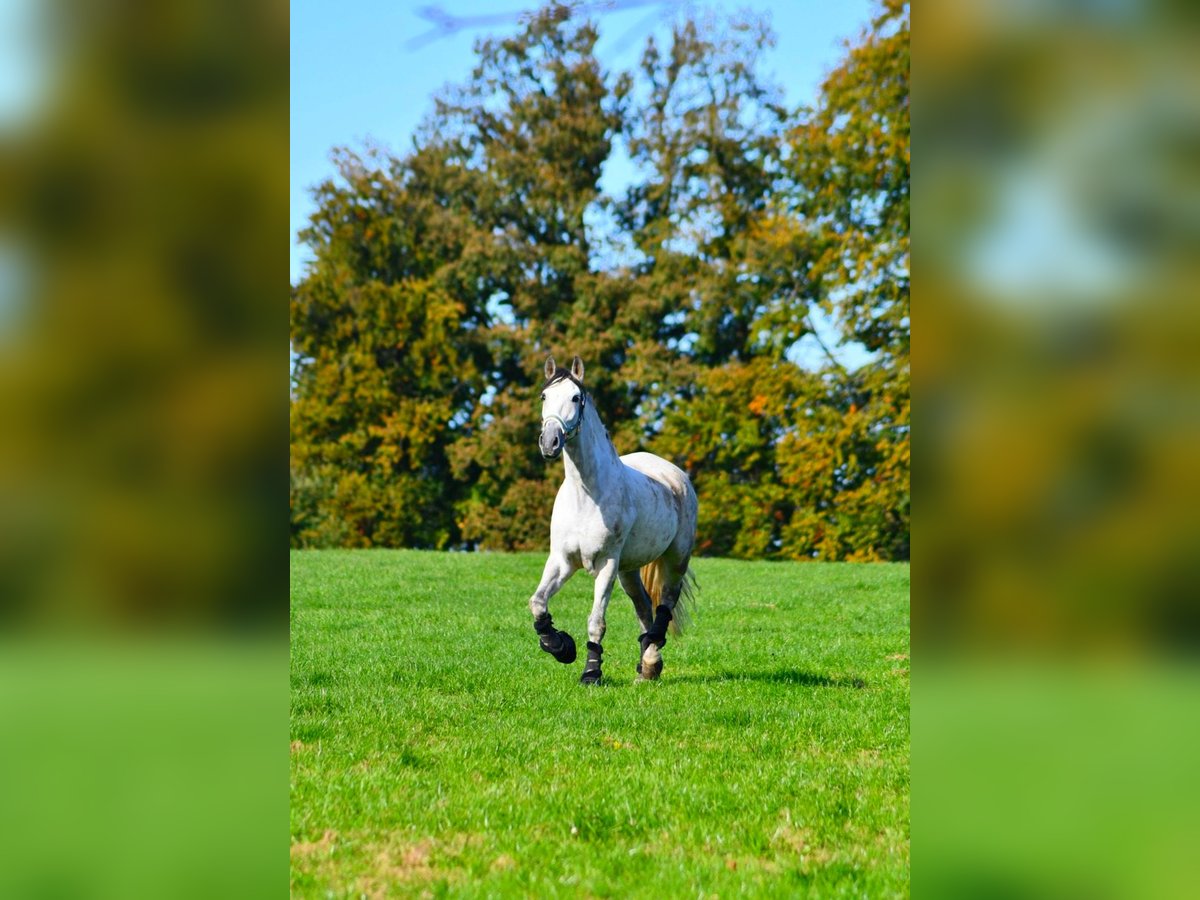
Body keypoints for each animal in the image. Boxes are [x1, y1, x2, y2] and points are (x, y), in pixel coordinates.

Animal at [525, 355, 696, 686]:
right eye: (544, 396)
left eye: (575, 397)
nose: (550, 442)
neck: (587, 495)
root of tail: (676, 475)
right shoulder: (562, 561)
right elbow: (538, 603)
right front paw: (560, 647)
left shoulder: (606, 563)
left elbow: (596, 622)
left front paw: (591, 672)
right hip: (629, 571)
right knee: (644, 608)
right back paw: (645, 669)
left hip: (675, 559)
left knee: (664, 605)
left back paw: (651, 660)